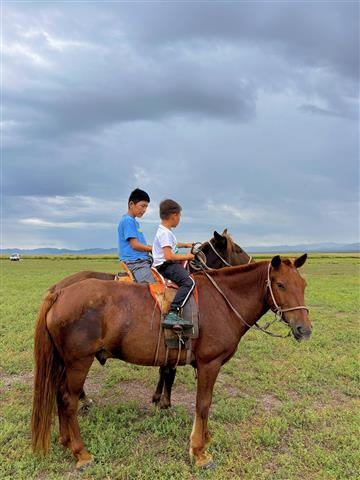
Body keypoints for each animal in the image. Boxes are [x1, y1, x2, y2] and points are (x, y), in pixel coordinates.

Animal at [31, 255, 312, 468]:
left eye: (303, 284)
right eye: (280, 285)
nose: (304, 329)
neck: (222, 301)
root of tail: (60, 293)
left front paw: (203, 437)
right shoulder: (209, 364)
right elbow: (203, 404)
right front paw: (199, 451)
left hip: (64, 362)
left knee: (59, 395)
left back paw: (66, 441)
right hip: (79, 362)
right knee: (68, 400)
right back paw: (81, 452)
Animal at [49, 230, 252, 408]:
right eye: (238, 250)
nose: (253, 262)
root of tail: (58, 288)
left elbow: (164, 368)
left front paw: (157, 397)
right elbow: (168, 369)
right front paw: (163, 401)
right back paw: (84, 398)